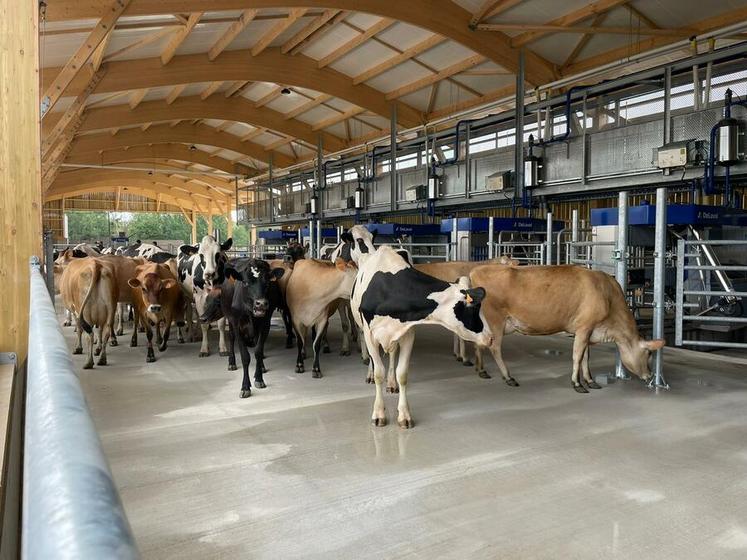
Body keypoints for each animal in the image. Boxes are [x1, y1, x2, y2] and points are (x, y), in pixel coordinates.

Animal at [200, 260, 284, 398]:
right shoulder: (237, 324)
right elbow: (245, 357)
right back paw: (231, 363)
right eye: (245, 282)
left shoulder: (265, 324)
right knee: (231, 338)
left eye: (267, 283)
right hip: (230, 320)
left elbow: (258, 352)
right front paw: (245, 386)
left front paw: (259, 378)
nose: (261, 304)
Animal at [352, 245, 494, 428]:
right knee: (374, 360)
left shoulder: (407, 332)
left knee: (392, 354)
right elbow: (378, 373)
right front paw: (379, 413)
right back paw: (371, 375)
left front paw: (404, 414)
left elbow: (402, 373)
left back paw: (391, 383)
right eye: (475, 309)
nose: (491, 337)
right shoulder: (370, 335)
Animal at [470, 264, 668, 392]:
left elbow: (586, 356)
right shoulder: (584, 327)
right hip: (495, 320)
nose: (649, 375)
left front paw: (590, 381)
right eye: (649, 353)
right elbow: (578, 356)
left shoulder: (588, 330)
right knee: (494, 347)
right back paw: (508, 377)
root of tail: (476, 270)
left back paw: (481, 371)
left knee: (479, 342)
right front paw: (577, 384)